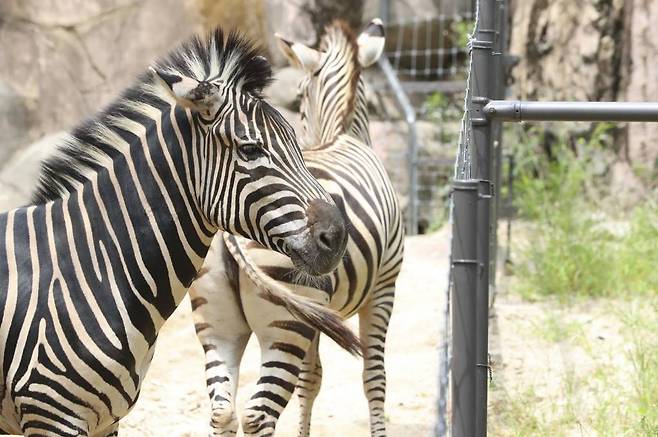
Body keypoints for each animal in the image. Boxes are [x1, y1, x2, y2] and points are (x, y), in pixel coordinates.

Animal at [0, 29, 358, 434]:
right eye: (250, 150)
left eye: (299, 145)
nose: (337, 237)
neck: (90, 269)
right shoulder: (51, 415)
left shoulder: (105, 421)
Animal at [191, 20, 404, 436]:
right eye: (302, 95)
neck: (343, 134)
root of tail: (228, 229)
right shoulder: (383, 287)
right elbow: (374, 378)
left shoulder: (317, 315)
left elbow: (313, 379)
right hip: (284, 321)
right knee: (258, 414)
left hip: (220, 322)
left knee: (222, 411)